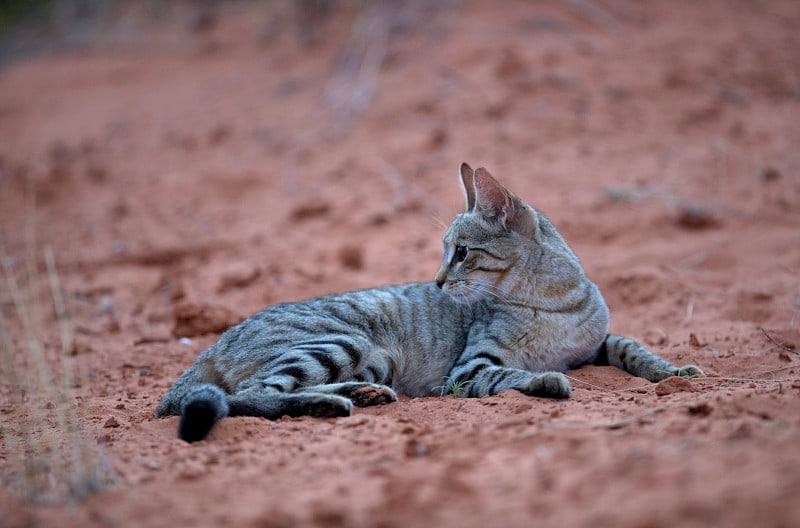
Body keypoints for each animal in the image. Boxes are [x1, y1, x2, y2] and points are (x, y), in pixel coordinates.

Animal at [155, 162, 700, 442]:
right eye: (443, 251)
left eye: (461, 252)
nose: (437, 281)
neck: (552, 302)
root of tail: (214, 344)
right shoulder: (469, 369)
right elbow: (508, 375)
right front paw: (545, 380)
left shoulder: (599, 341)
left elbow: (632, 347)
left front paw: (674, 371)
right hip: (340, 341)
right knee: (252, 395)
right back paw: (330, 403)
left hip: (370, 358)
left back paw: (361, 394)